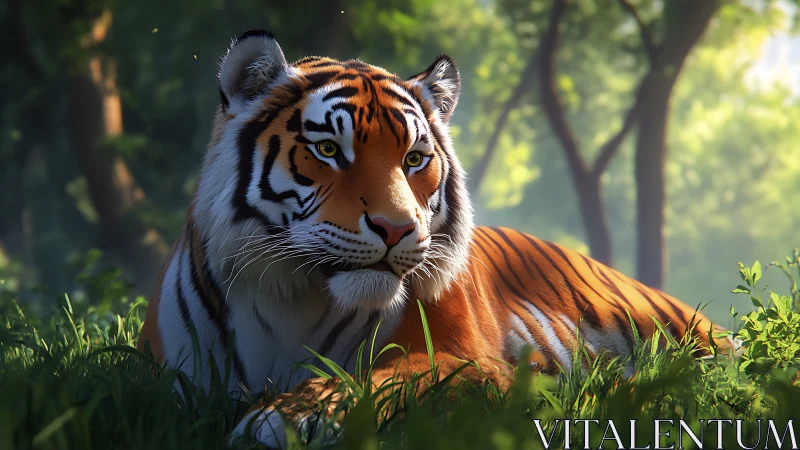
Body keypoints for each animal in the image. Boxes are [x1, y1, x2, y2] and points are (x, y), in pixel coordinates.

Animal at [137, 30, 740, 447]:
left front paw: (287, 419)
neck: (293, 295)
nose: (397, 227)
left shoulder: (472, 363)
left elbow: (379, 378)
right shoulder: (175, 381)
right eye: (329, 150)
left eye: (413, 158)